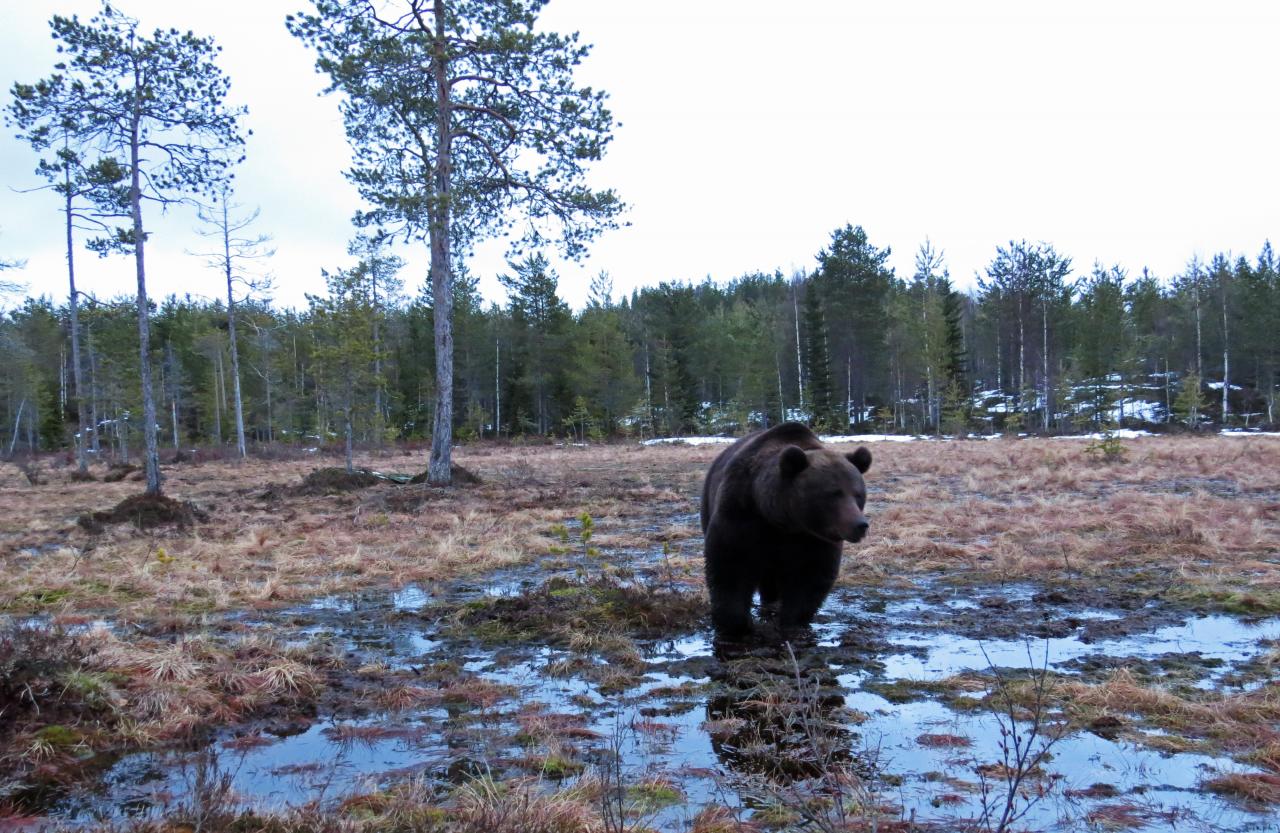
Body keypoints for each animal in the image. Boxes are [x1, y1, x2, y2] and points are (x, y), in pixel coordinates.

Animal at [701, 424, 870, 639]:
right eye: (833, 493)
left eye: (858, 494)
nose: (860, 525)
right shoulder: (741, 514)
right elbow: (730, 566)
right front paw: (736, 626)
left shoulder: (814, 540)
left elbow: (810, 578)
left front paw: (792, 623)